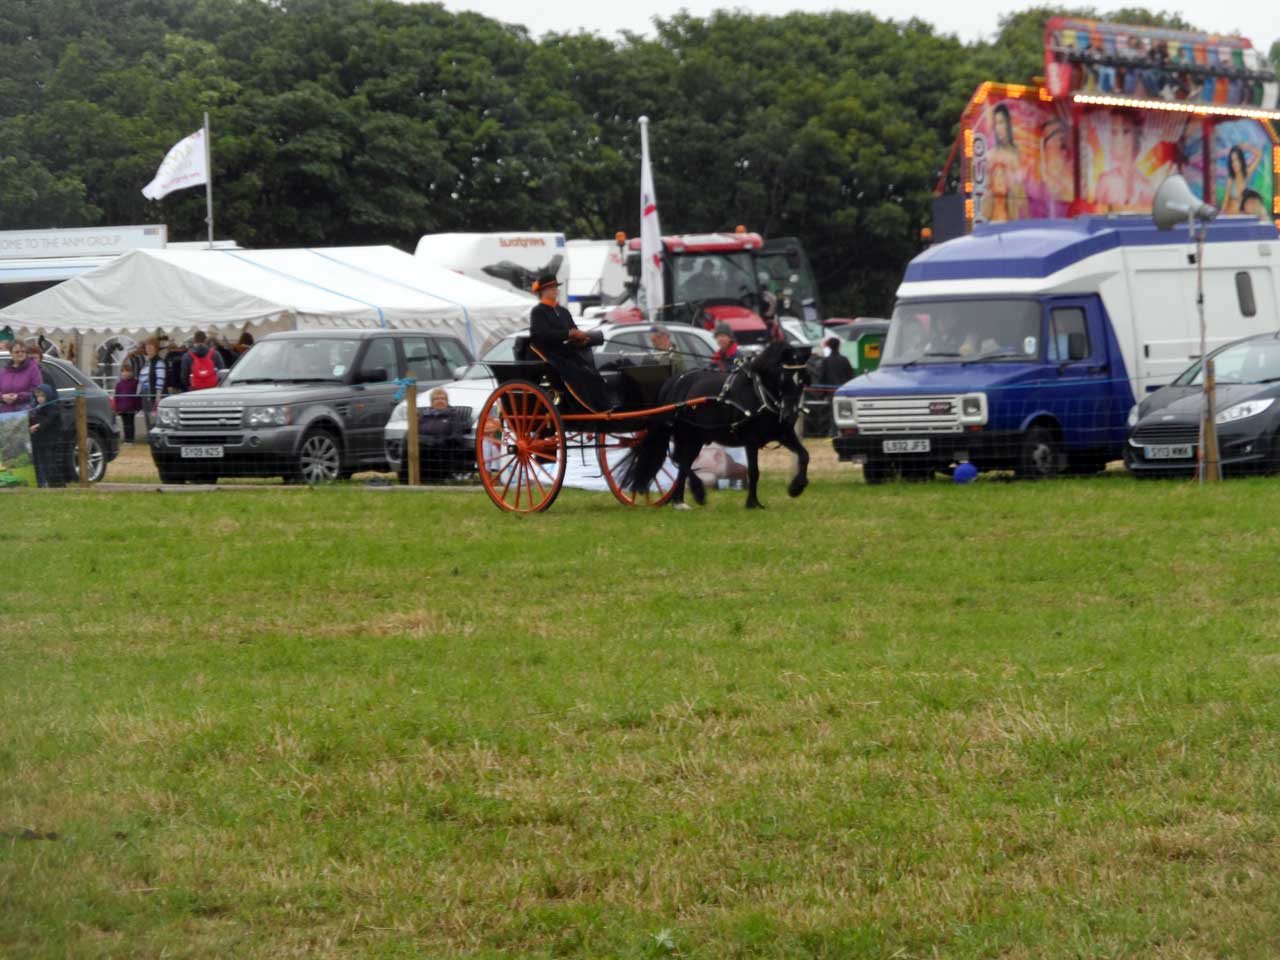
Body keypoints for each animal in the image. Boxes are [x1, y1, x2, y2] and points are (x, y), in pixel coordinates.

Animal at [624, 343, 814, 514]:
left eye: (802, 379)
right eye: (782, 377)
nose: (790, 414)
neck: (759, 394)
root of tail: (676, 380)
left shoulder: (784, 434)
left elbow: (805, 455)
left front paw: (796, 487)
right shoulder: (751, 440)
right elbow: (754, 471)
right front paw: (752, 503)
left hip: (696, 437)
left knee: (683, 462)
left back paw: (680, 501)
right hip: (685, 434)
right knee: (681, 461)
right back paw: (695, 493)